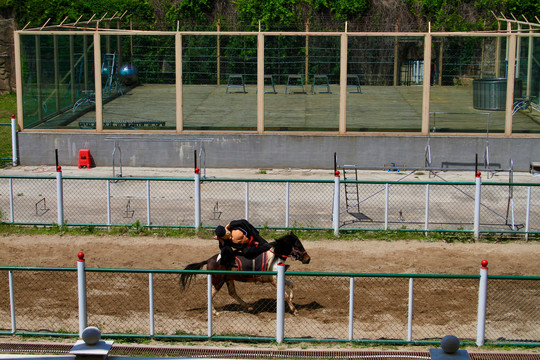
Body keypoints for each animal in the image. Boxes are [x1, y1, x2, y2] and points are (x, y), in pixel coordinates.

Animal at [180, 233, 310, 316]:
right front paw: (294, 310)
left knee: (232, 293)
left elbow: (291, 284)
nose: (308, 259)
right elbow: (285, 295)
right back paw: (215, 312)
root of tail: (209, 260)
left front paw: (292, 298)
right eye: (298, 246)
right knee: (210, 295)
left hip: (228, 279)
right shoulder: (274, 280)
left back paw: (249, 307)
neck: (274, 256)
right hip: (218, 281)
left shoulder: (277, 278)